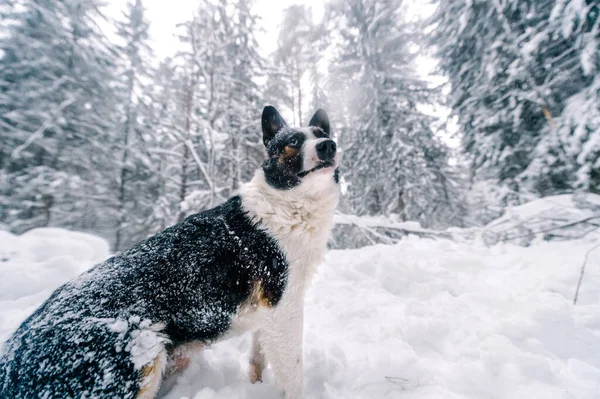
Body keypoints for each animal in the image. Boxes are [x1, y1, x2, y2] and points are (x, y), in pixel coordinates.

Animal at [0, 104, 338, 398]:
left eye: (321, 133)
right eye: (293, 141)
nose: (329, 146)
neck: (286, 206)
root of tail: (11, 357)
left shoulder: (272, 313)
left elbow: (259, 358)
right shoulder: (284, 306)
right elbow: (293, 374)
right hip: (144, 352)